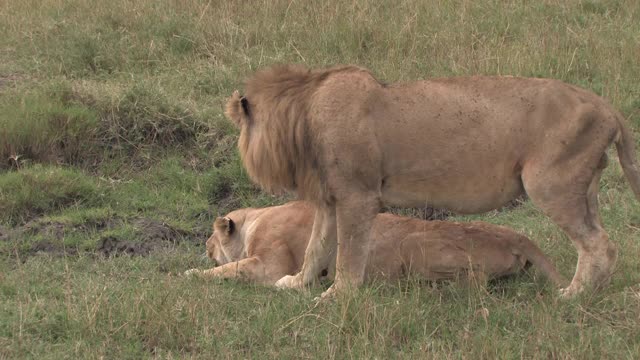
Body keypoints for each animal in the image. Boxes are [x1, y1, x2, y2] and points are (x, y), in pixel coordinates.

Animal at [225, 64, 640, 298]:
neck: (305, 110)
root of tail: (605, 105)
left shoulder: (358, 196)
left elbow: (348, 254)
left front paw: (337, 296)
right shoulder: (331, 200)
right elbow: (316, 247)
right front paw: (297, 283)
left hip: (550, 183)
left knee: (599, 245)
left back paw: (574, 295)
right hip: (584, 188)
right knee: (600, 240)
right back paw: (594, 291)